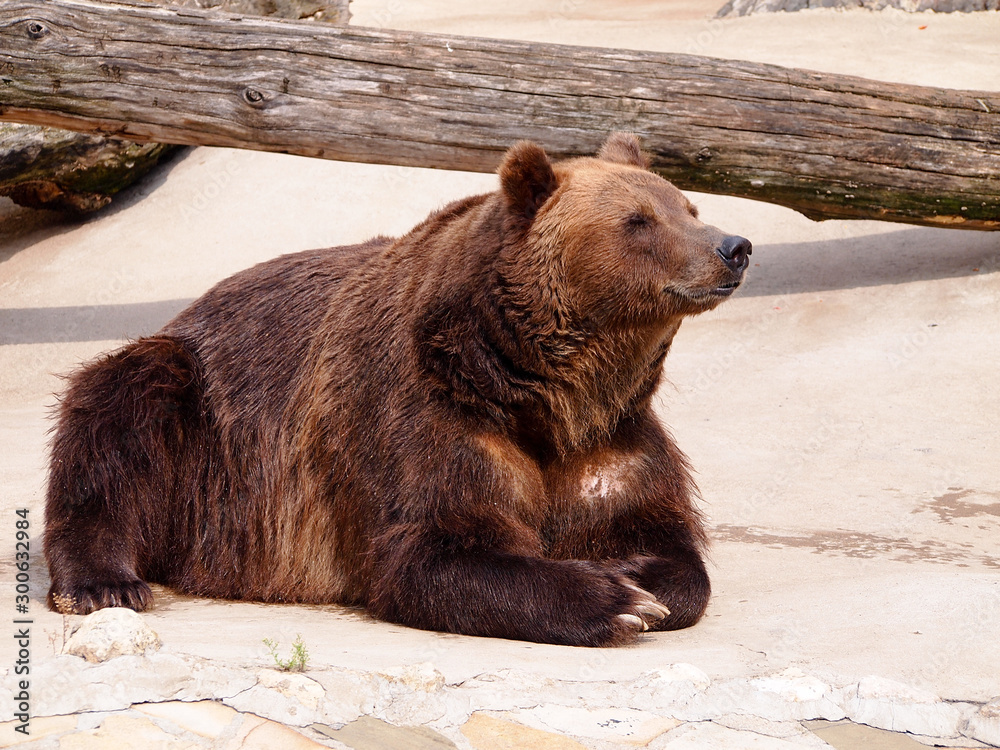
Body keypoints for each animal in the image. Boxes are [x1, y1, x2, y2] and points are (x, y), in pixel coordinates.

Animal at [44, 133, 751, 647]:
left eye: (687, 206)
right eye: (639, 220)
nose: (734, 246)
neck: (543, 391)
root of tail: (192, 306)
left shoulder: (609, 441)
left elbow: (665, 544)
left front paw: (636, 575)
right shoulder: (422, 420)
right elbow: (431, 550)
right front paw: (615, 599)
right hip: (201, 413)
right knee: (121, 409)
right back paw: (105, 583)